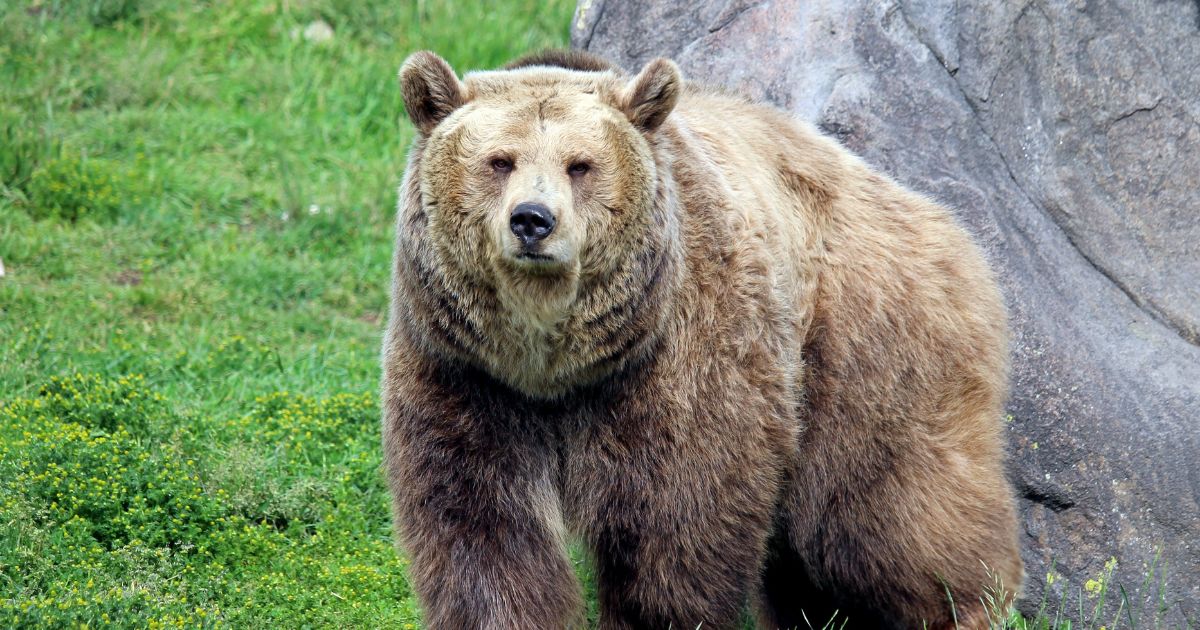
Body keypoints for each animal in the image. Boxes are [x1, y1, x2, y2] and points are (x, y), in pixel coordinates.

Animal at [381, 48, 1024, 629]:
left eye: (580, 165)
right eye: (500, 161)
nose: (533, 220)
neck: (554, 365)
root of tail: (940, 219)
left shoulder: (682, 359)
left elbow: (677, 519)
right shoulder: (464, 374)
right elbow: (482, 529)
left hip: (866, 344)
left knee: (884, 516)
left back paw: (970, 605)